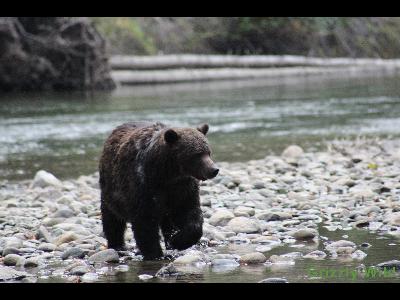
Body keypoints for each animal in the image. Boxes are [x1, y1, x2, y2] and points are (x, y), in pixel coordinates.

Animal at [99, 121, 219, 260]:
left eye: (208, 152)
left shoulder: (183, 188)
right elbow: (145, 221)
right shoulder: (144, 186)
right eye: (197, 154)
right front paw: (155, 254)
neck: (167, 174)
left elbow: (190, 213)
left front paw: (177, 240)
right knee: (112, 219)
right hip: (110, 191)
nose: (214, 169)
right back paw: (118, 245)